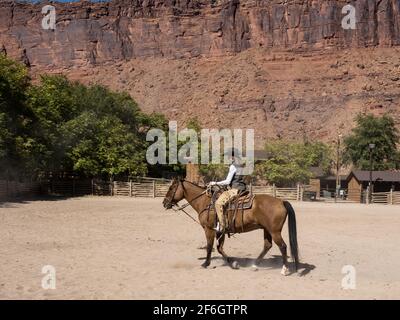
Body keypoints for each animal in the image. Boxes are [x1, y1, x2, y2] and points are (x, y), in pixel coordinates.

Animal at [162, 178, 300, 276]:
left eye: (171, 188)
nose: (164, 203)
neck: (205, 203)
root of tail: (281, 201)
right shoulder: (220, 231)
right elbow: (219, 248)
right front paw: (233, 263)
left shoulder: (209, 229)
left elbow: (209, 246)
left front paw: (205, 263)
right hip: (267, 230)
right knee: (267, 245)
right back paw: (254, 265)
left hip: (275, 231)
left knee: (283, 246)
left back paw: (284, 270)